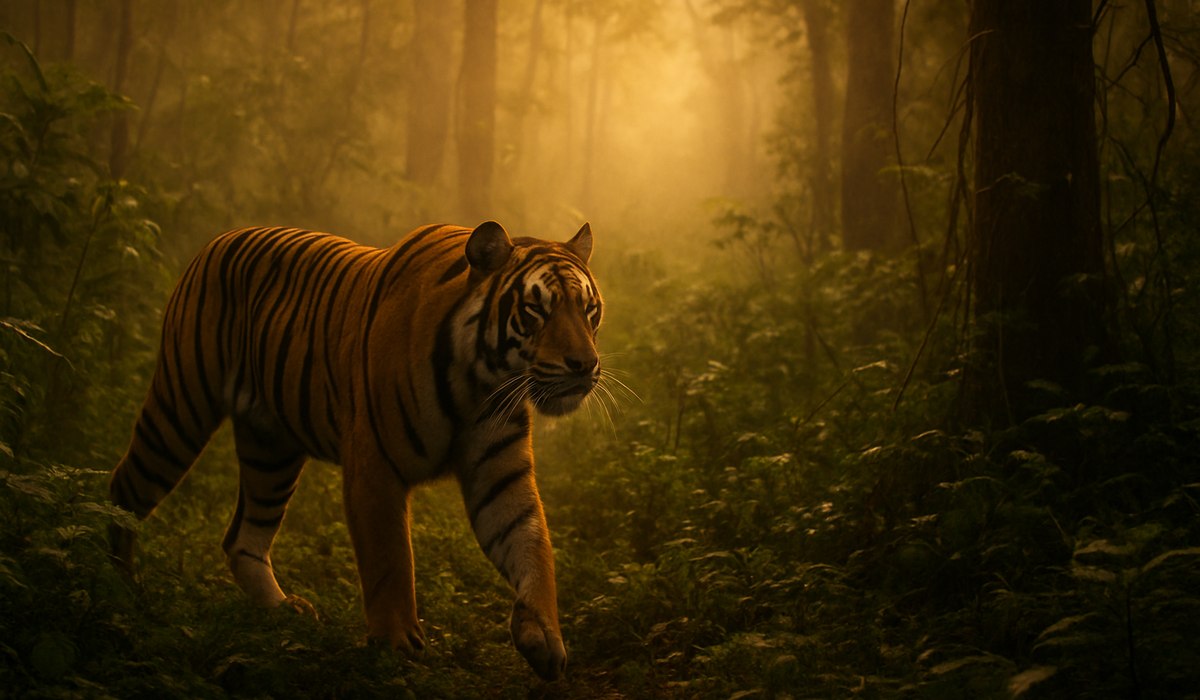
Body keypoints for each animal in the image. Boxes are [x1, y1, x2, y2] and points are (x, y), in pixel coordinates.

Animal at [107, 220, 603, 680]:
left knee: (242, 538)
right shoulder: (375, 466)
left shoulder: (500, 474)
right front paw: (397, 645)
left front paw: (543, 636)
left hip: (272, 450)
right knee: (125, 490)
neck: (481, 381)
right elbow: (390, 559)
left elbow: (532, 543)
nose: (585, 365)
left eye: (589, 310)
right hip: (181, 407)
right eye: (536, 309)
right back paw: (122, 592)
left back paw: (283, 610)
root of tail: (221, 238)